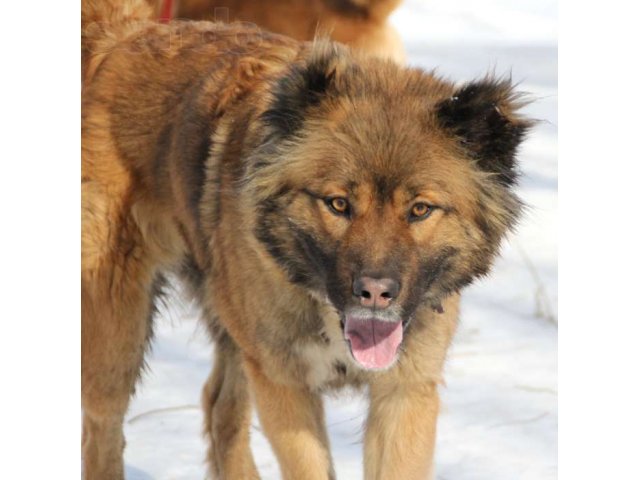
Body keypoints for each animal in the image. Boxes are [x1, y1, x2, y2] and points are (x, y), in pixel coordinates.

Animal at [80, 1, 528, 478]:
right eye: (338, 204)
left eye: (420, 210)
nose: (375, 292)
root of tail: (126, 36)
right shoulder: (284, 384)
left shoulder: (404, 392)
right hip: (119, 327)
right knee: (102, 428)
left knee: (220, 408)